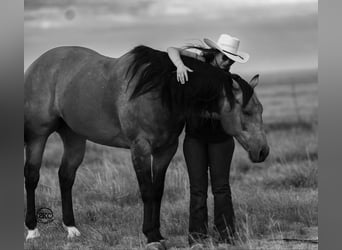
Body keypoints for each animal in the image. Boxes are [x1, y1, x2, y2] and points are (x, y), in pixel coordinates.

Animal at [24, 45, 270, 248]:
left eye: (261, 110)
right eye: (247, 111)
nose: (263, 151)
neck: (161, 90)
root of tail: (37, 65)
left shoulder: (166, 150)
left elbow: (157, 191)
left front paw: (157, 234)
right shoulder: (140, 149)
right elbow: (146, 191)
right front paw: (151, 237)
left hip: (74, 137)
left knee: (65, 176)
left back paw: (71, 229)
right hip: (37, 135)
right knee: (32, 175)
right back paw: (32, 230)